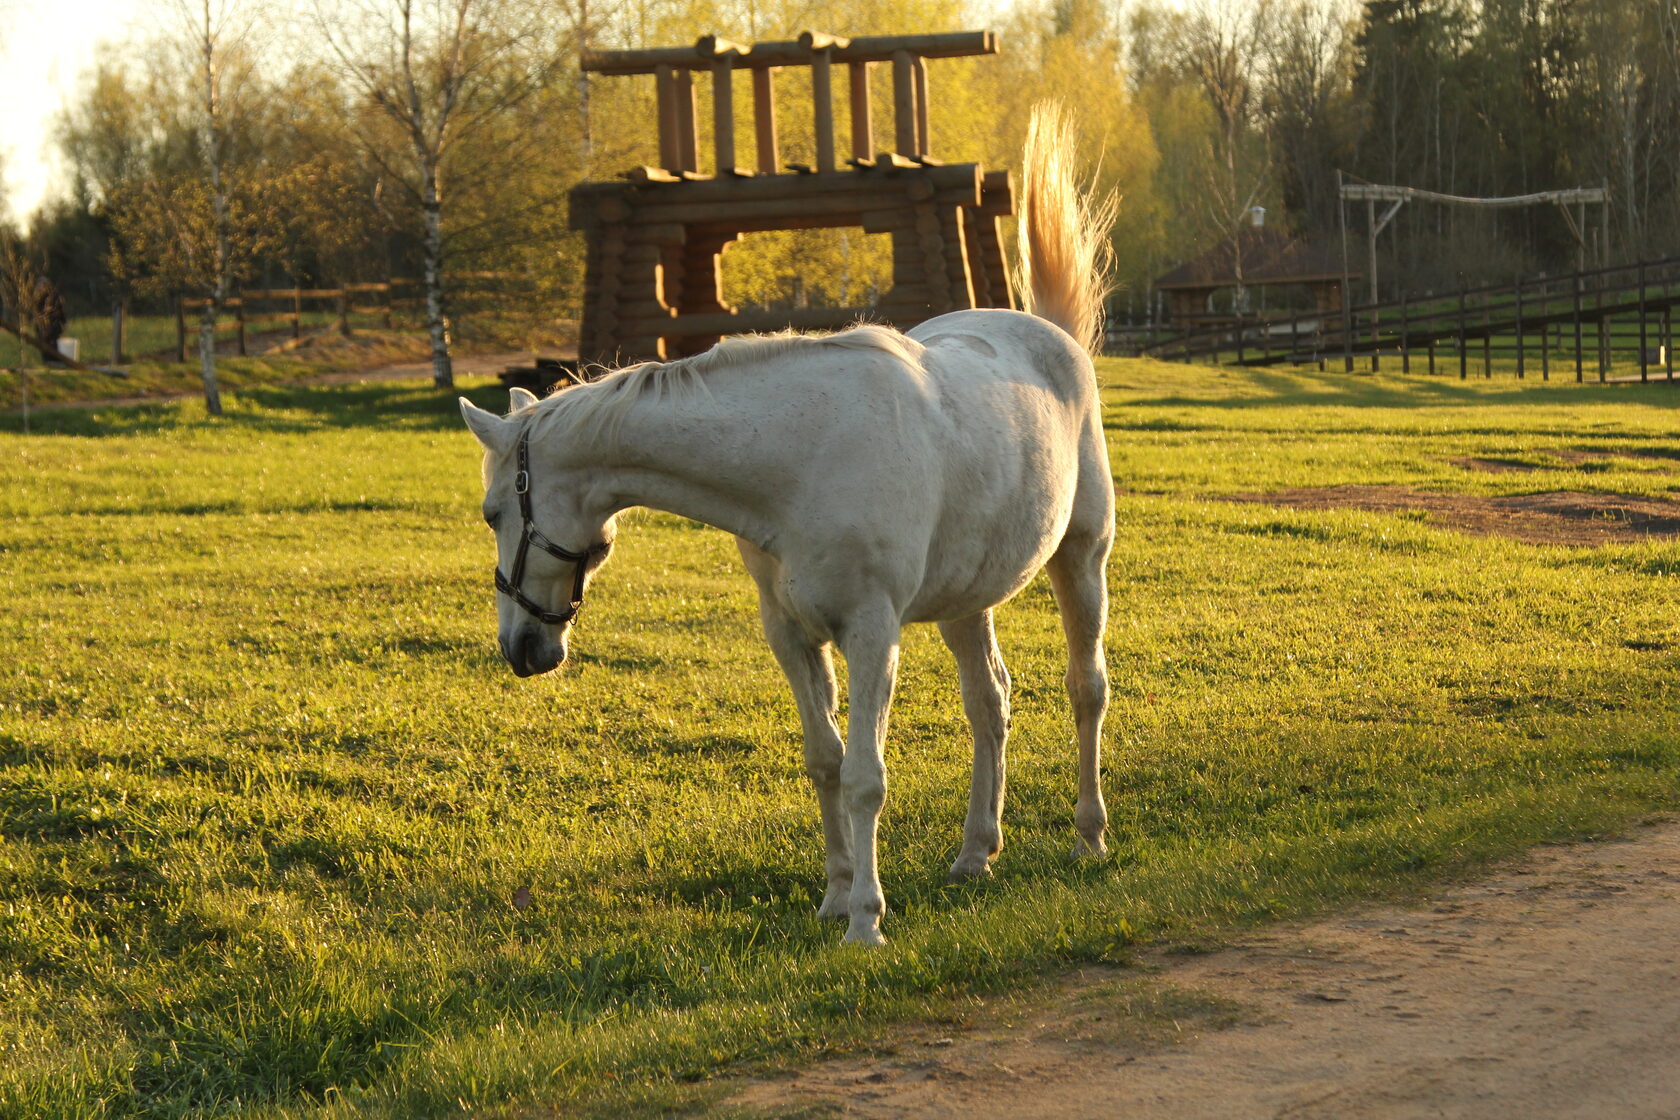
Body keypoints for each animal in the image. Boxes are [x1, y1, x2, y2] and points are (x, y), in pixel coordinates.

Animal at [460, 107, 1115, 947]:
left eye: (492, 513)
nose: (522, 649)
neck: (798, 457)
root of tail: (1053, 339)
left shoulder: (871, 630)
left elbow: (866, 776)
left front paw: (866, 920)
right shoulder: (792, 632)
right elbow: (825, 760)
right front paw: (835, 895)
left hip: (1082, 560)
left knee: (1085, 688)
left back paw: (1088, 836)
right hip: (965, 602)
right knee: (990, 705)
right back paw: (976, 852)